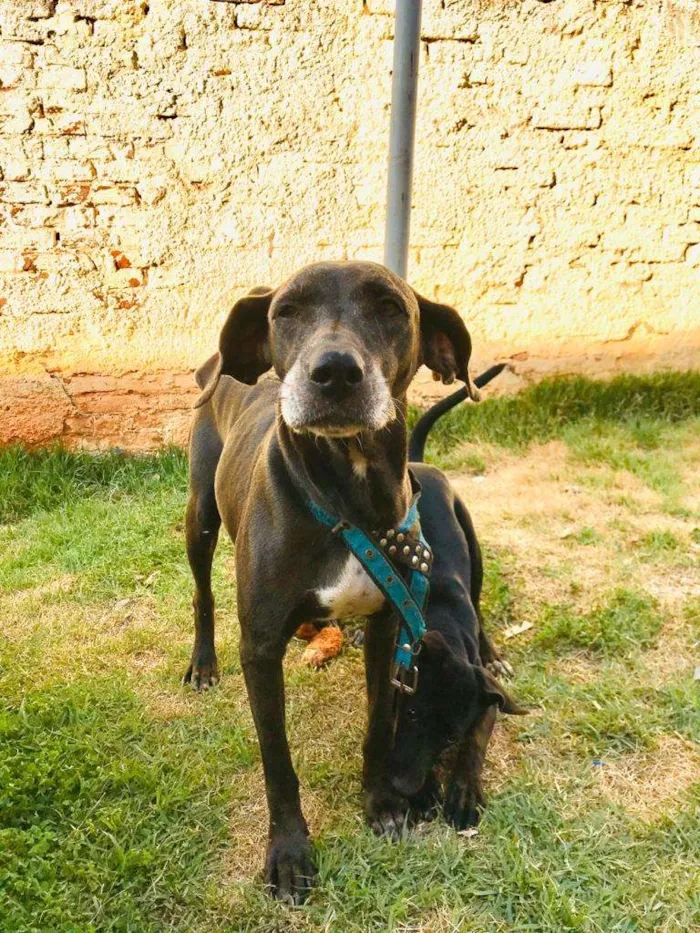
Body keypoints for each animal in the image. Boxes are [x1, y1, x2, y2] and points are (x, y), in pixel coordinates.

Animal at [185, 258, 482, 900]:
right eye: (287, 311)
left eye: (391, 307)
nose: (335, 373)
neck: (345, 494)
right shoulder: (260, 647)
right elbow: (277, 761)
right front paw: (289, 852)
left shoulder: (392, 626)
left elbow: (378, 724)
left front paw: (381, 804)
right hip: (200, 513)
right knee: (201, 593)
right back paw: (202, 663)